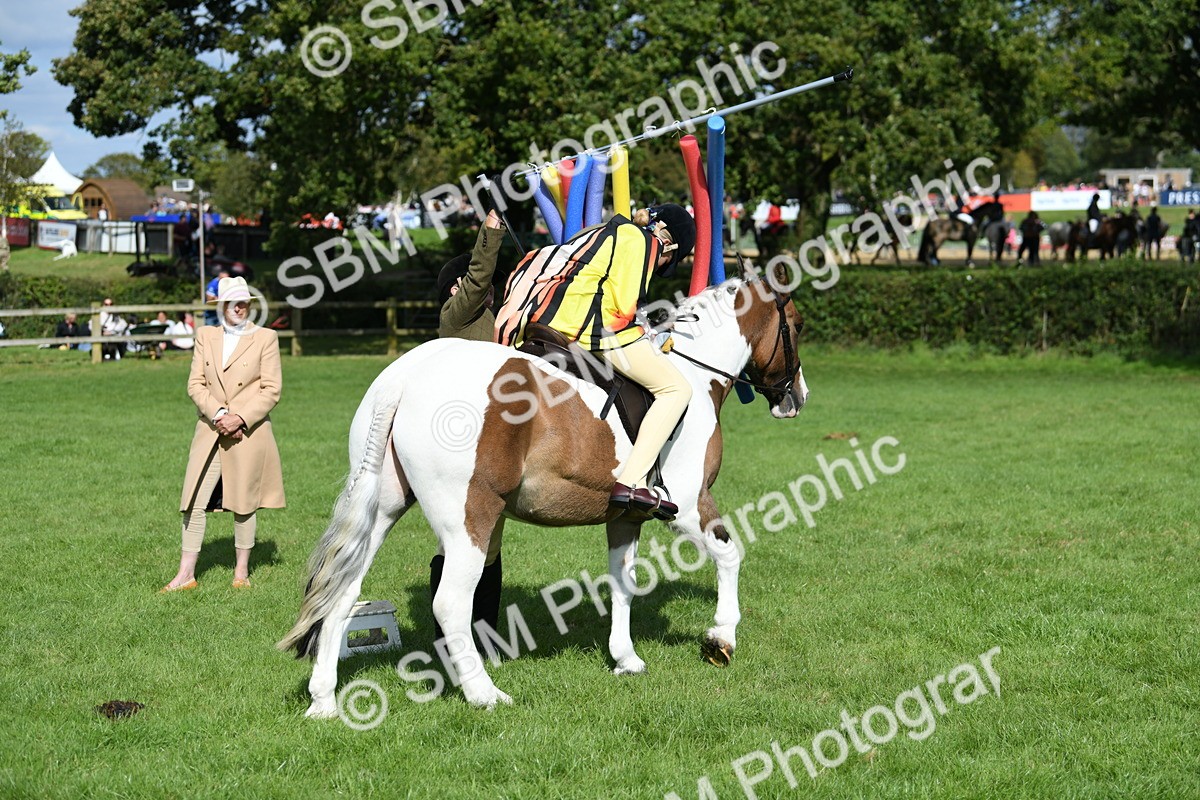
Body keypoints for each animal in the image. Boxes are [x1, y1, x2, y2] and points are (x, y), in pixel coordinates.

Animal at [278, 266, 810, 715]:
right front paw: (721, 638)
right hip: (470, 517)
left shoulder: (625, 516)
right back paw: (484, 693)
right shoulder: (689, 506)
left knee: (343, 593)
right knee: (450, 601)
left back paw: (324, 700)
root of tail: (407, 374)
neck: (693, 377)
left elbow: (622, 583)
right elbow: (729, 553)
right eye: (797, 325)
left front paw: (625, 659)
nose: (796, 397)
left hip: (385, 508)